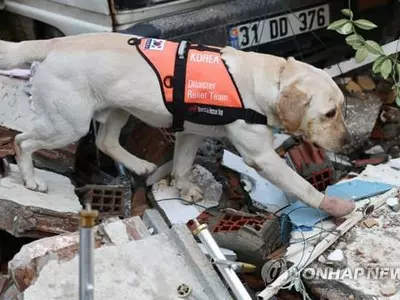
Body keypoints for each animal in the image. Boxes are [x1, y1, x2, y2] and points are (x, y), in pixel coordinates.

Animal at [0, 32, 356, 217]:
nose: (347, 143)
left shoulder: (191, 133)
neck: (271, 80)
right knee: (22, 141)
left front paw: (183, 187)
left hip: (118, 108)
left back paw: (140, 165)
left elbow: (183, 165)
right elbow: (301, 185)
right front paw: (332, 205)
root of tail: (54, 43)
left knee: (105, 141)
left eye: (342, 109)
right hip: (68, 124)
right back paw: (31, 180)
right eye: (329, 113)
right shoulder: (262, 157)